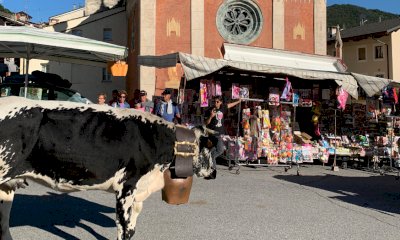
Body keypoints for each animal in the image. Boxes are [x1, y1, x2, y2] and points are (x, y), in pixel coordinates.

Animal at [0, 96, 216, 240]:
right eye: (210, 148)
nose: (214, 173)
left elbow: (132, 229)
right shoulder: (126, 187)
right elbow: (124, 228)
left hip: (6, 187)